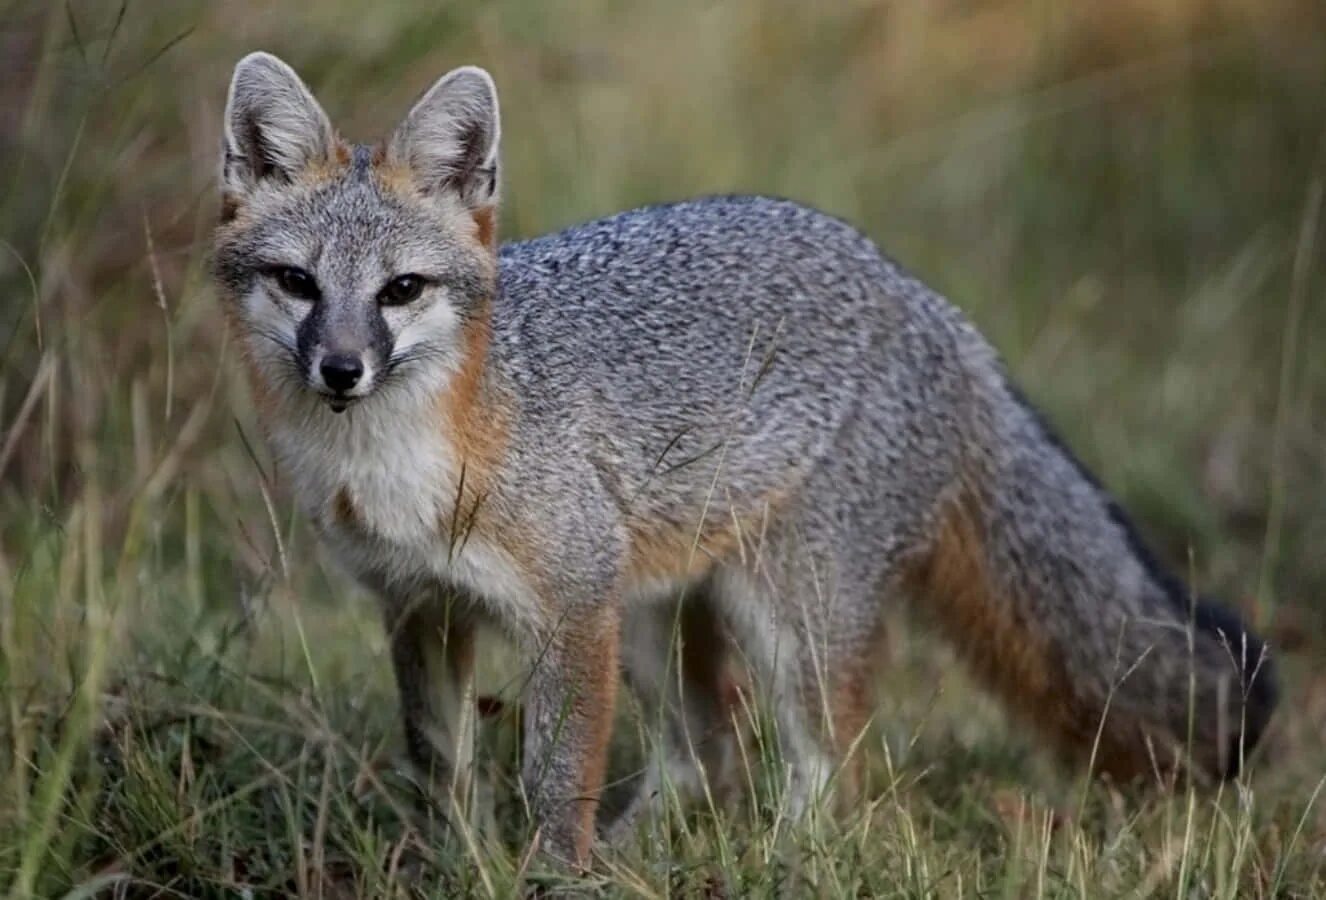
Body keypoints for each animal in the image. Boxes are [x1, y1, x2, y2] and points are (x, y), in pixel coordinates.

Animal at [212, 52, 1278, 869]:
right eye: (298, 283)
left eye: (400, 290)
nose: (341, 368)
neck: (400, 468)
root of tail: (932, 307)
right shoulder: (421, 608)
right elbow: (441, 768)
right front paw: (454, 867)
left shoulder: (571, 609)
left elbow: (555, 782)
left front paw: (548, 876)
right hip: (655, 617)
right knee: (706, 757)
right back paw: (635, 863)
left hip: (784, 616)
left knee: (832, 770)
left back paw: (781, 863)